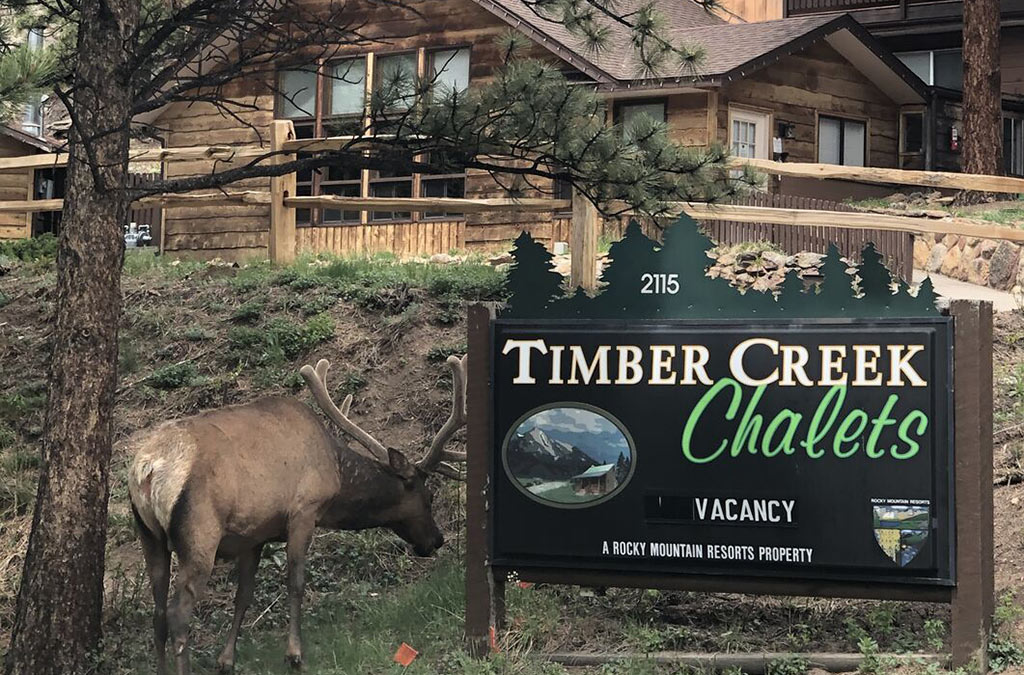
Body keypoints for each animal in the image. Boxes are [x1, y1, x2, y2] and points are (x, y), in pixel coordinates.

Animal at [124, 356, 471, 671]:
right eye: (428, 495)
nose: (437, 539)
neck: (336, 472)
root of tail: (149, 467)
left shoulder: (254, 534)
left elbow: (244, 594)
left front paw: (227, 660)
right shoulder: (304, 511)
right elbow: (296, 582)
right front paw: (294, 654)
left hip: (148, 535)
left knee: (158, 613)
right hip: (200, 532)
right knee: (178, 614)